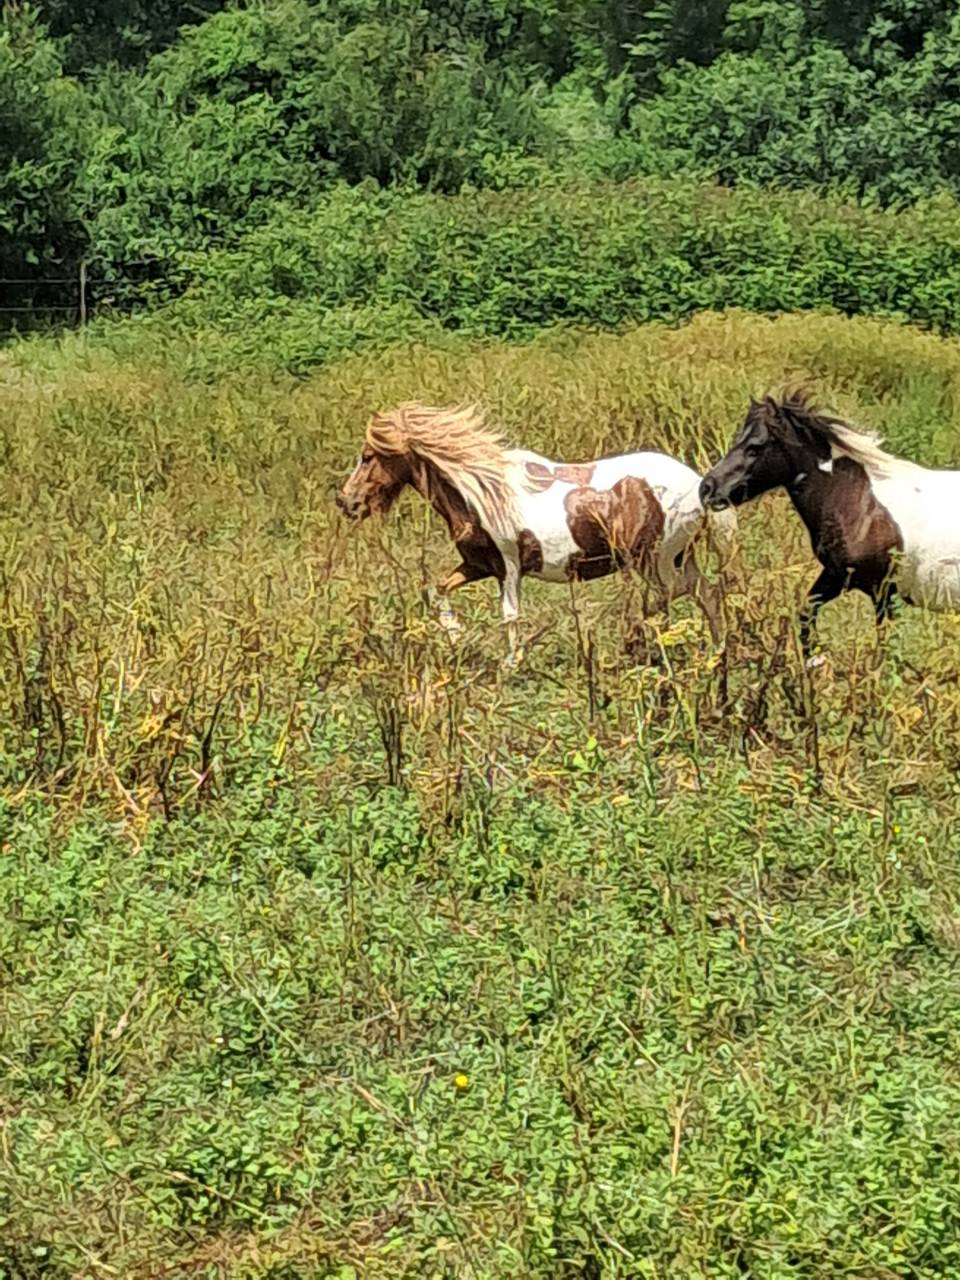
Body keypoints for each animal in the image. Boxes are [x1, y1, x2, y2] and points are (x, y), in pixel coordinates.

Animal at [336, 402, 738, 661]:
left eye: (367, 457)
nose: (346, 502)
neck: (480, 493)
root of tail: (697, 483)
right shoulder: (479, 565)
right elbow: (435, 590)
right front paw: (455, 635)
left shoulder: (509, 567)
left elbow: (510, 615)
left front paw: (512, 663)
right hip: (679, 557)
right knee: (705, 593)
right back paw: (715, 653)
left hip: (655, 559)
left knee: (669, 595)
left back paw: (635, 641)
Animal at [699, 390, 960, 656]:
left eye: (755, 448)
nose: (707, 488)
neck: (862, 505)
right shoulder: (836, 575)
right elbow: (806, 613)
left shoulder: (882, 591)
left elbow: (883, 645)